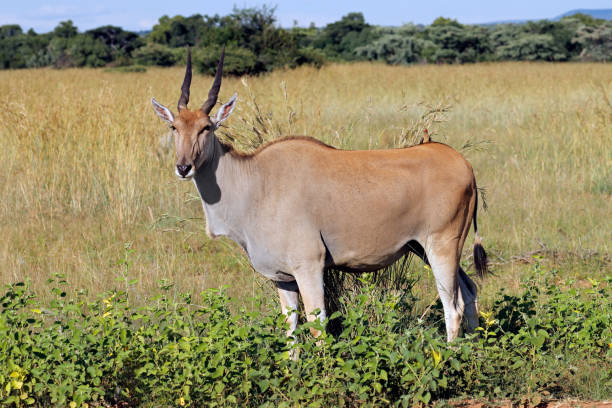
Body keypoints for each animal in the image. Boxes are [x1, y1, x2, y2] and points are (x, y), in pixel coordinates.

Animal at [152, 48, 488, 344]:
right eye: (174, 127)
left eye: (206, 128)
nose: (183, 167)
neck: (257, 183)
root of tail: (463, 164)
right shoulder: (284, 278)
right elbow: (291, 330)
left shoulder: (309, 267)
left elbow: (317, 327)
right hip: (426, 249)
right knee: (470, 292)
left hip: (441, 246)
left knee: (453, 307)